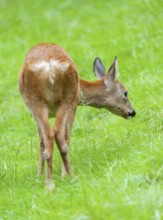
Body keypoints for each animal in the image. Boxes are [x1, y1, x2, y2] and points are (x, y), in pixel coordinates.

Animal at [18, 42, 136, 189]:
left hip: (36, 102)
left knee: (49, 136)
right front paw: (61, 174)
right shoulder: (74, 105)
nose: (132, 112)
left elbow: (41, 142)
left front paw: (38, 177)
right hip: (67, 98)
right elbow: (66, 136)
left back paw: (49, 184)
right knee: (60, 135)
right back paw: (70, 175)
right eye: (126, 93)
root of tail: (49, 67)